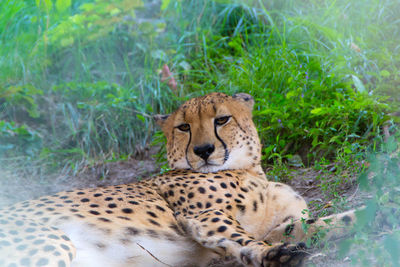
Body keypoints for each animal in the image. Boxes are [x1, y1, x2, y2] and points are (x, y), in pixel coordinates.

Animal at [0, 92, 356, 267]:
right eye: (183, 127)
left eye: (222, 119)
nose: (203, 150)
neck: (250, 170)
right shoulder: (204, 216)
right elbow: (241, 237)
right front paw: (272, 254)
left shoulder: (275, 224)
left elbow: (321, 223)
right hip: (52, 241)